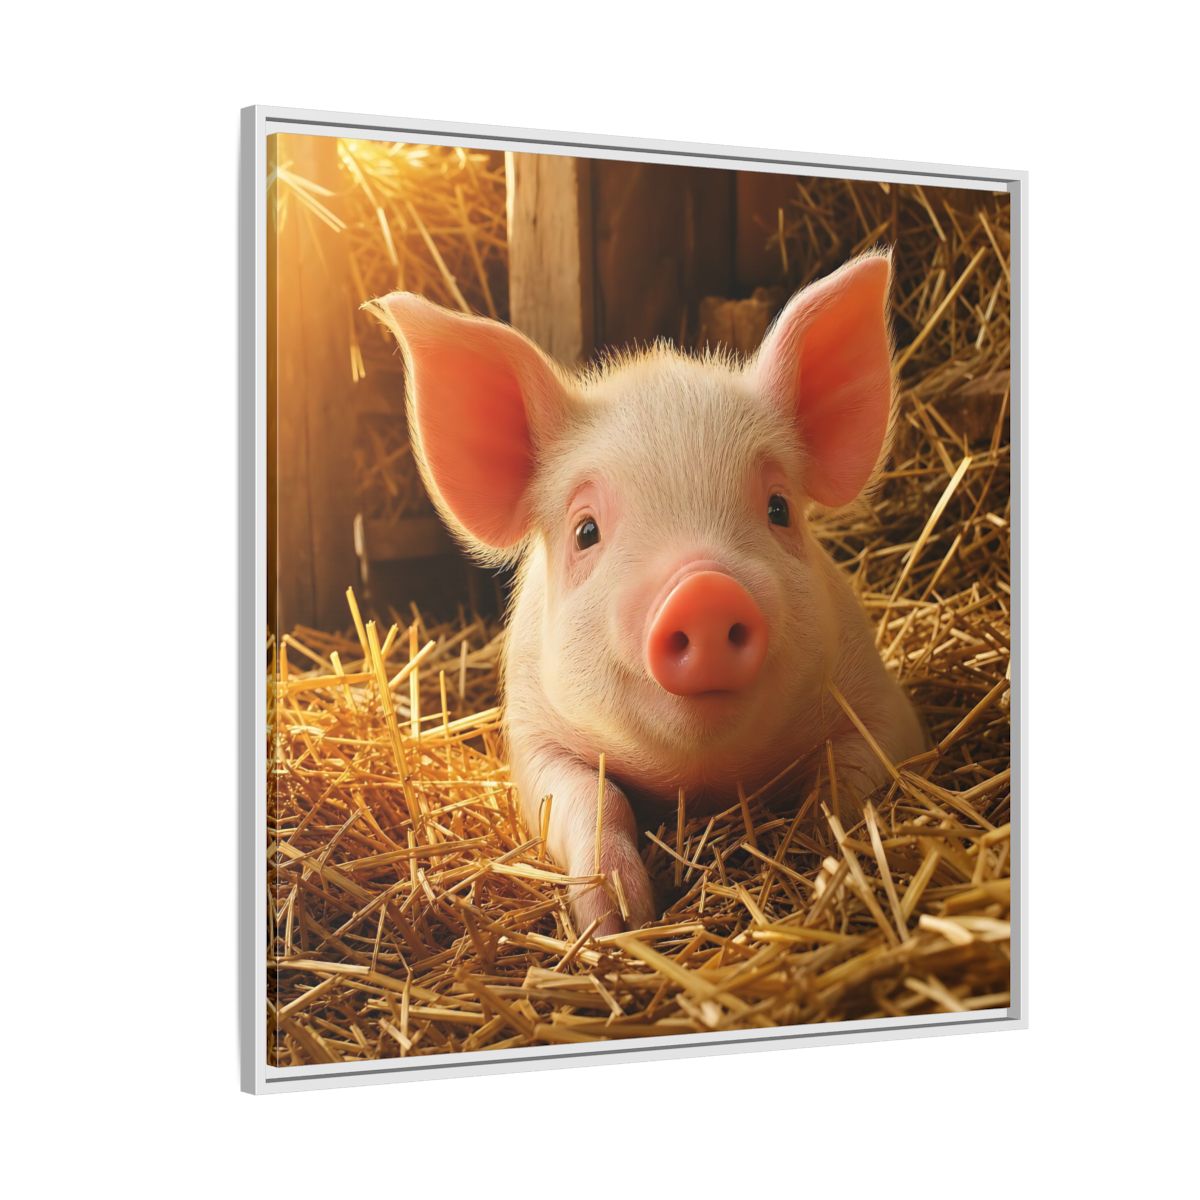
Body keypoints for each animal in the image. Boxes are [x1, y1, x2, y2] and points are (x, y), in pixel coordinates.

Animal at [369, 251, 926, 937]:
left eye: (779, 508)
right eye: (585, 531)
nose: (704, 591)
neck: (702, 779)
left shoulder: (881, 703)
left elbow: (847, 776)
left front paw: (827, 859)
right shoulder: (531, 735)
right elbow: (592, 797)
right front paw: (618, 923)